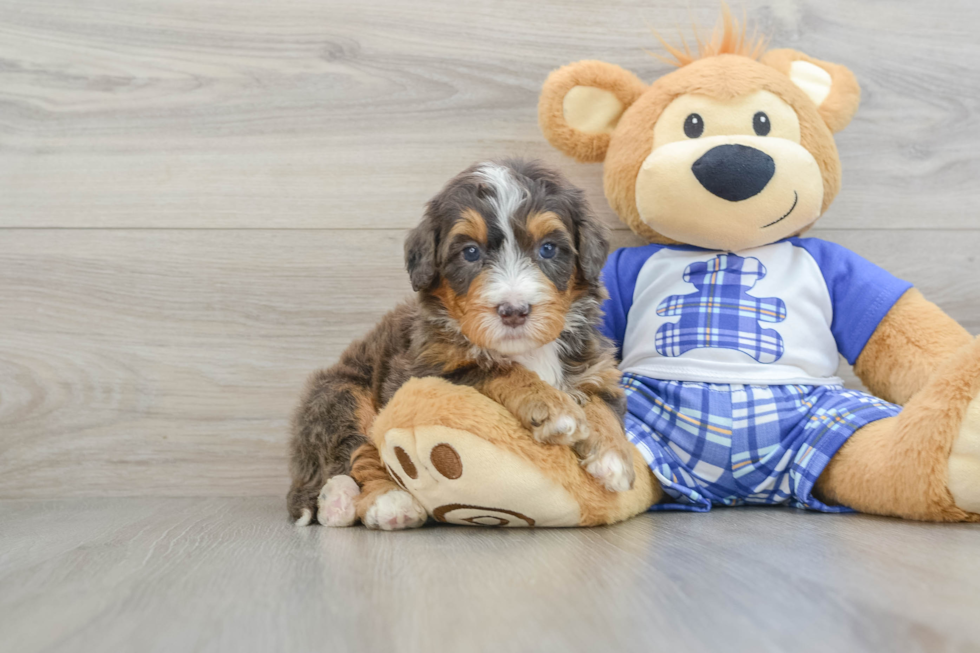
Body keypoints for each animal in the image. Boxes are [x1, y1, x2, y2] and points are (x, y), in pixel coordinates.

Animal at [286, 159, 636, 528]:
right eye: (470, 252)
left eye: (548, 248)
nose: (514, 311)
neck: (530, 350)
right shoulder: (424, 371)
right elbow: (498, 370)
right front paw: (554, 409)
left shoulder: (596, 367)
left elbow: (602, 406)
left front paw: (614, 458)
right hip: (342, 394)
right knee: (360, 450)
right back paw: (379, 502)